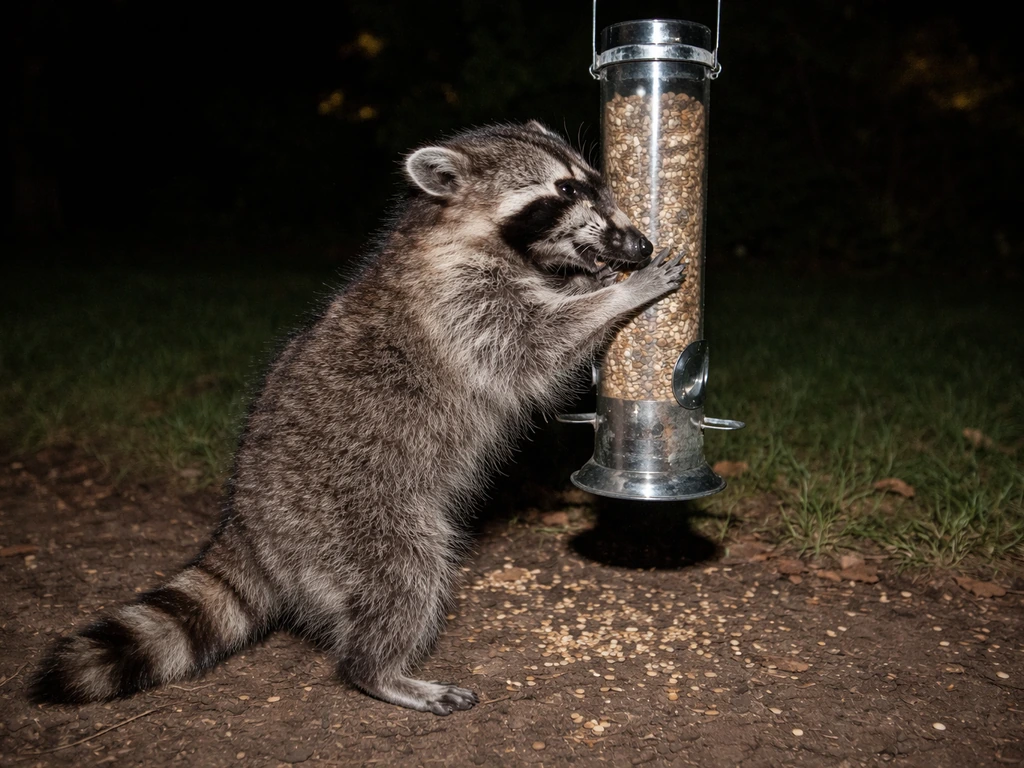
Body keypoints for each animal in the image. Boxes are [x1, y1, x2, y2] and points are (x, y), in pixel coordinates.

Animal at [30, 121, 685, 715]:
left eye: (595, 180)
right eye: (565, 190)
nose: (637, 246)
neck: (453, 229)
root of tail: (245, 520)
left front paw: (592, 278)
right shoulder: (462, 305)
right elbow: (537, 345)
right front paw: (615, 295)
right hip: (354, 519)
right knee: (405, 574)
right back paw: (379, 671)